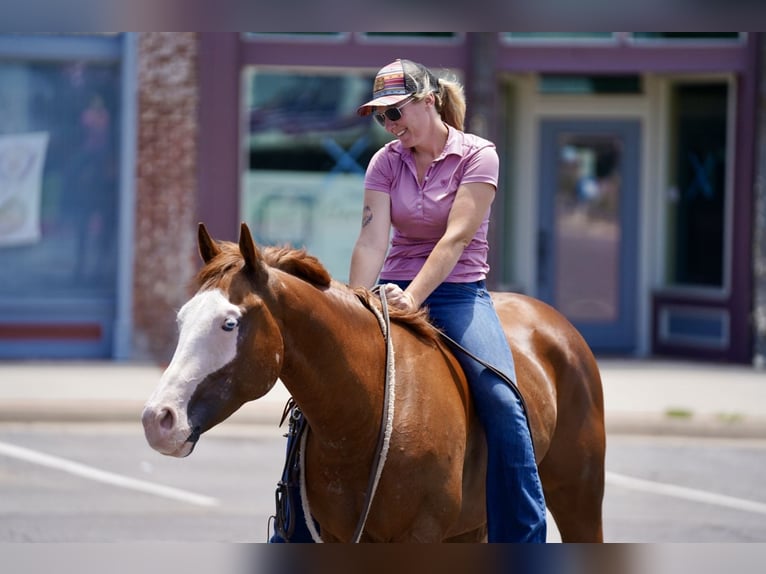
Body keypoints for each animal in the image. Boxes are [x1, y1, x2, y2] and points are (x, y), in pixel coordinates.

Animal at [144, 224, 608, 544]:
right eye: (183, 318)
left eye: (229, 323)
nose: (157, 419)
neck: (366, 414)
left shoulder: (420, 536)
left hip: (579, 500)